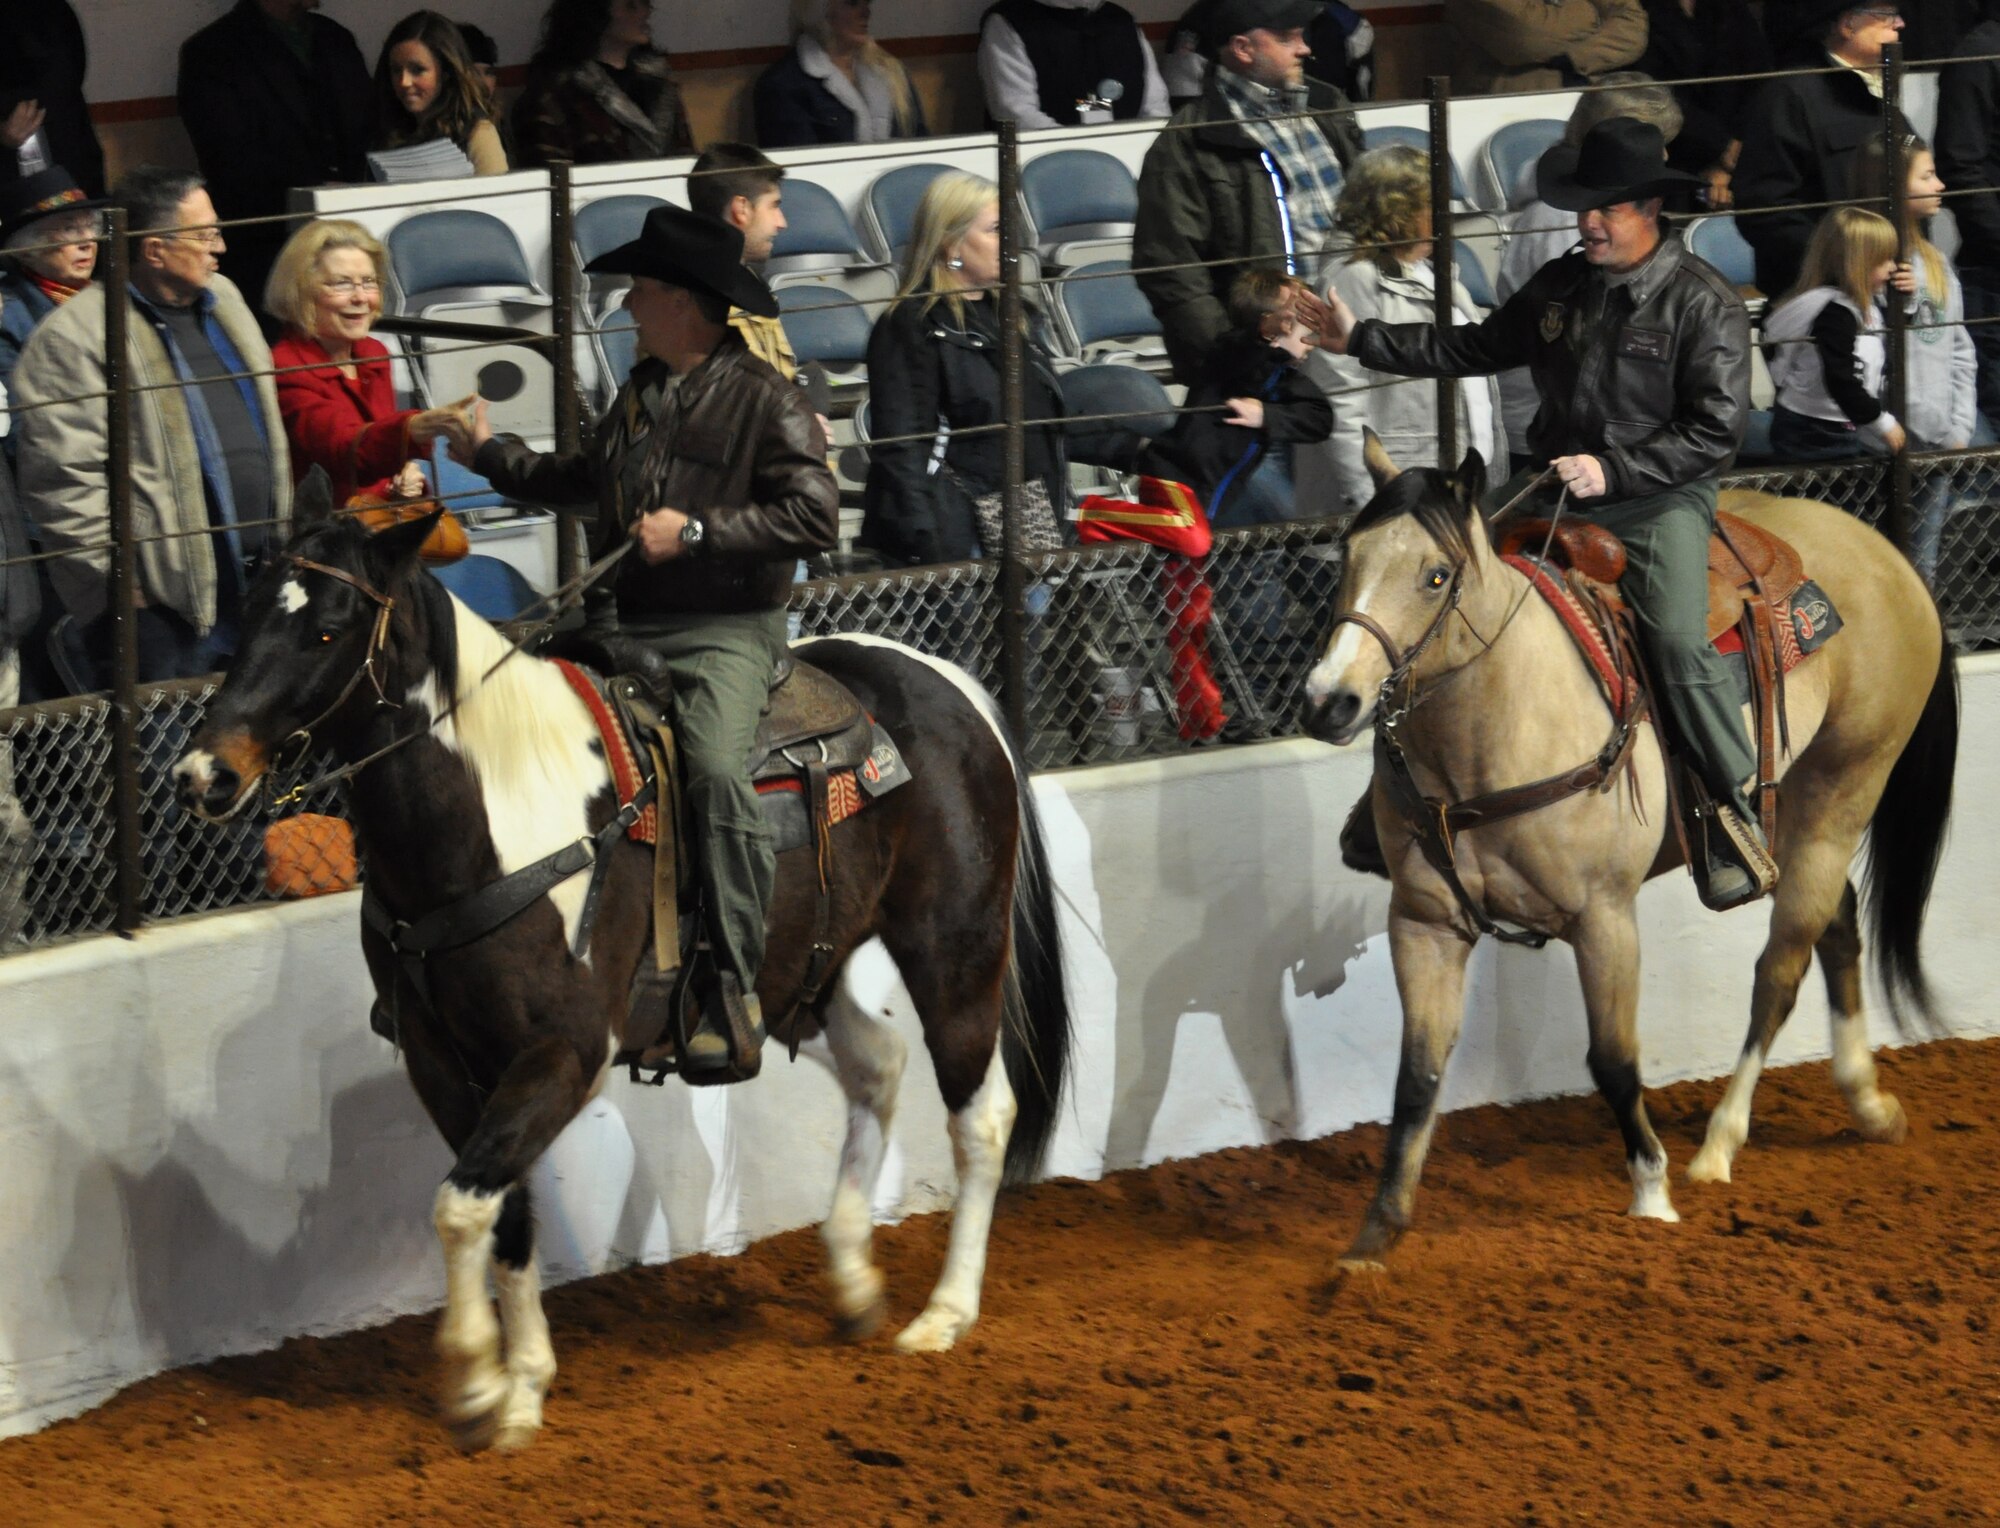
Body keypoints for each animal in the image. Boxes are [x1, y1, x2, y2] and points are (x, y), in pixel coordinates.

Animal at [174, 480, 1080, 1456]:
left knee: (981, 1114)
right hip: (795, 974)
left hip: (955, 944)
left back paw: (943, 1313)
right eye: (248, 616)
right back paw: (851, 1279)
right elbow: (497, 1207)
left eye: (329, 629)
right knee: (877, 1065)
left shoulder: (564, 1052)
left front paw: (474, 1378)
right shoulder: (442, 1061)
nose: (202, 774)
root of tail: (946, 681)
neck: (497, 812)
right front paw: (516, 1387)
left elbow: (463, 1205)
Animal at [1296, 438, 1952, 1264]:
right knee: (1836, 928)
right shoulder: (1423, 922)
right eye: (1349, 558)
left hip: (1844, 791)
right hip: (1794, 814)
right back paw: (1867, 1101)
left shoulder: (1602, 917)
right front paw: (1375, 1233)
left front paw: (1652, 1194)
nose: (1329, 701)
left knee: (1781, 967)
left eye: (1435, 575)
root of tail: (1888, 556)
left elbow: (1613, 1060)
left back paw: (1719, 1144)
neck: (1499, 723)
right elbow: (1418, 1073)